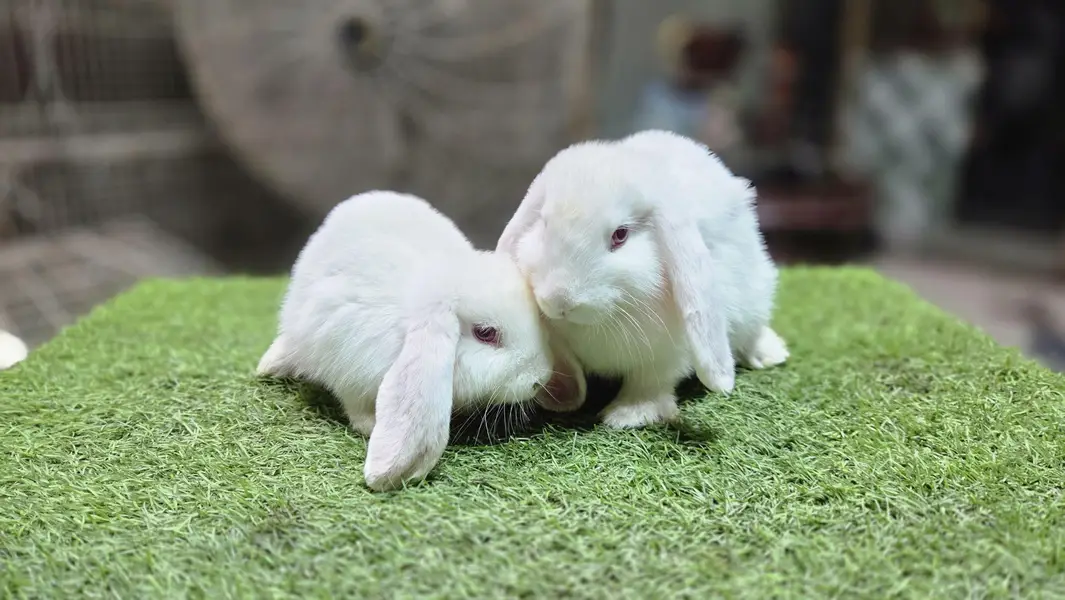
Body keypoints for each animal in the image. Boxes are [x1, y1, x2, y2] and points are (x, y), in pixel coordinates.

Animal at [496, 129, 787, 429]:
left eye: (620, 235)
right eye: (543, 225)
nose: (559, 302)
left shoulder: (666, 354)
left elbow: (649, 383)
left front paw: (627, 415)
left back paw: (770, 354)